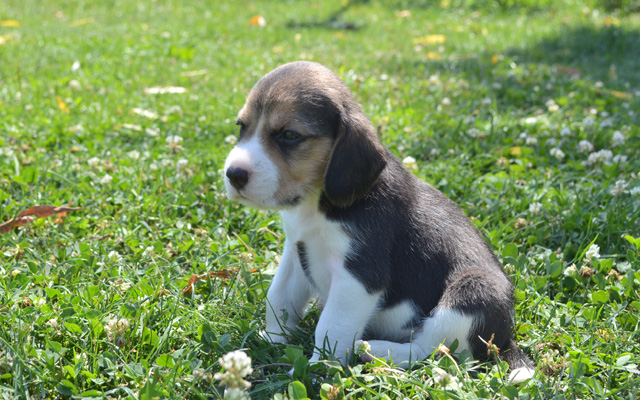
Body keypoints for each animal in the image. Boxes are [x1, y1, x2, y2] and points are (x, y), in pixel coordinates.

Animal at [225, 61, 536, 382]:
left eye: (289, 135)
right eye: (241, 127)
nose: (234, 175)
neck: (316, 203)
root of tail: (505, 341)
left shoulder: (359, 276)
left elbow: (331, 327)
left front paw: (318, 370)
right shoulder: (295, 249)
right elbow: (279, 297)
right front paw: (271, 338)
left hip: (471, 293)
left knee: (431, 350)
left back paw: (374, 350)